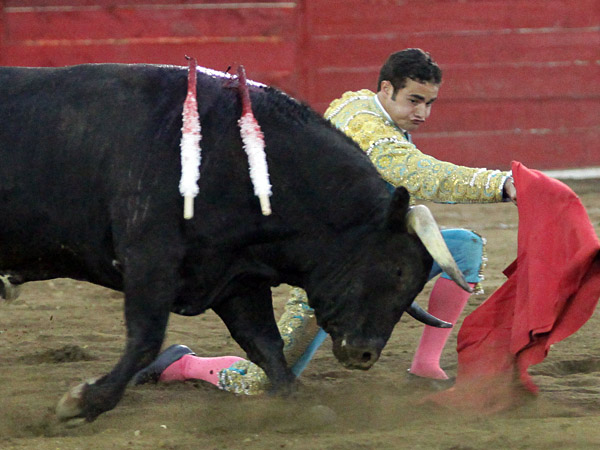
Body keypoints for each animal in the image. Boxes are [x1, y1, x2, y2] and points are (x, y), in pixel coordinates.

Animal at [0, 63, 468, 422]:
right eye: (398, 270)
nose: (365, 354)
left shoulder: (236, 277)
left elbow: (266, 345)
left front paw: (300, 407)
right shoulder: (150, 260)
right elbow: (147, 336)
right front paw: (82, 402)